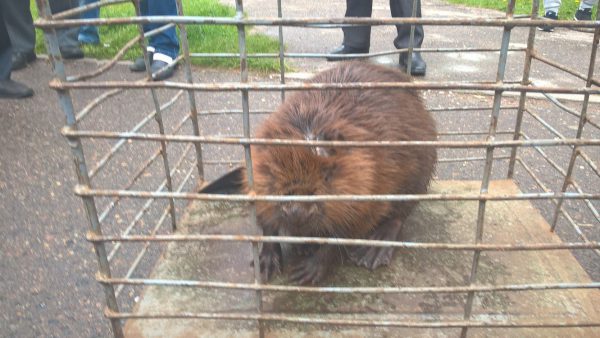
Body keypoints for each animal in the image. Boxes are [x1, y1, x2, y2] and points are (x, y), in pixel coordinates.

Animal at [202, 61, 436, 286]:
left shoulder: (373, 181)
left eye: (327, 175)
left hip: (419, 173)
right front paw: (266, 262)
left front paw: (309, 270)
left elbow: (348, 232)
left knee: (399, 215)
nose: (296, 210)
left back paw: (373, 249)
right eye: (273, 174)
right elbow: (266, 219)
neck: (310, 124)